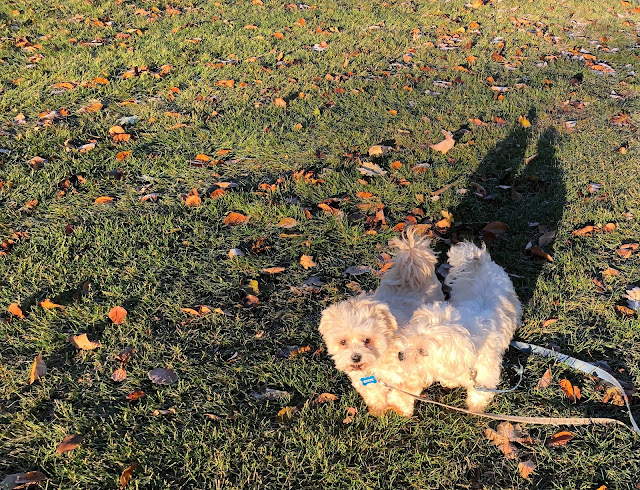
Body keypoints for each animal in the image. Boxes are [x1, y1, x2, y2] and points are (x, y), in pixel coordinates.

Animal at [318, 228, 443, 416]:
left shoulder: (411, 373)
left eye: (367, 340)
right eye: (343, 342)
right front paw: (379, 409)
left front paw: (400, 410)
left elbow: (403, 393)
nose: (356, 357)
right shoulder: (365, 380)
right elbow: (374, 392)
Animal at [404, 241, 522, 412]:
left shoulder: (486, 375)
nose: (400, 355)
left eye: (422, 352)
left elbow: (479, 393)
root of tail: (480, 259)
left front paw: (475, 407)